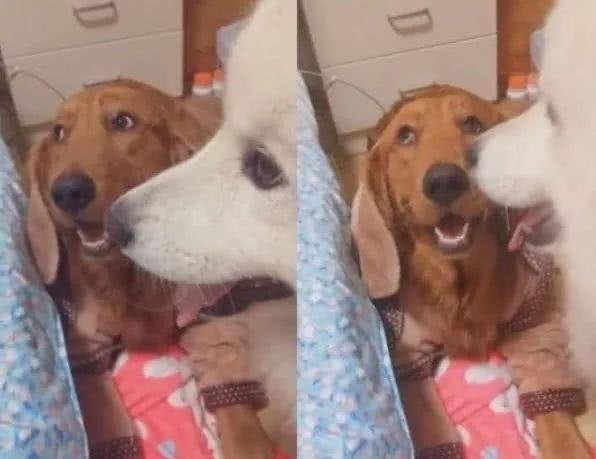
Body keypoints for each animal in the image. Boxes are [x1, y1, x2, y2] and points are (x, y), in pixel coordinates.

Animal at [351, 85, 590, 458]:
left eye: (473, 124)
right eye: (405, 136)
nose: (445, 181)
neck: (458, 278)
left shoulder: (534, 323)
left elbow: (552, 408)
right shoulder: (407, 359)